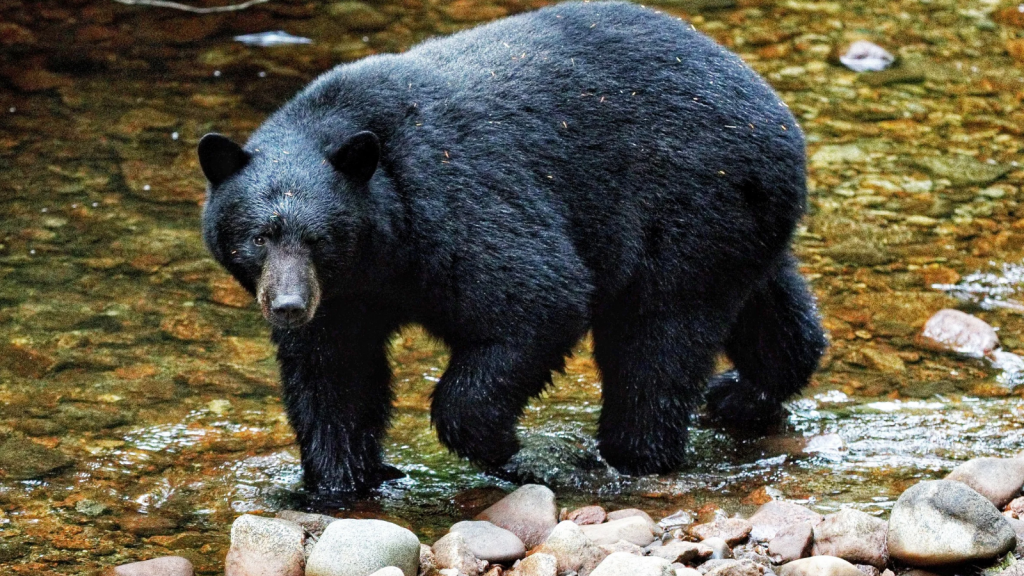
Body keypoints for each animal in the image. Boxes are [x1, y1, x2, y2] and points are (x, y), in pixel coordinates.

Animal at [197, 1, 823, 494]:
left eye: (320, 238)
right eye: (259, 236)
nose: (288, 306)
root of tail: (775, 112)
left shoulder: (455, 204)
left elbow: (535, 300)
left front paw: (514, 452)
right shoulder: (346, 297)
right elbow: (334, 374)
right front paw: (340, 481)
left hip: (690, 208)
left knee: (656, 341)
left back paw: (634, 454)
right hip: (742, 222)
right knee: (769, 307)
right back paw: (746, 392)